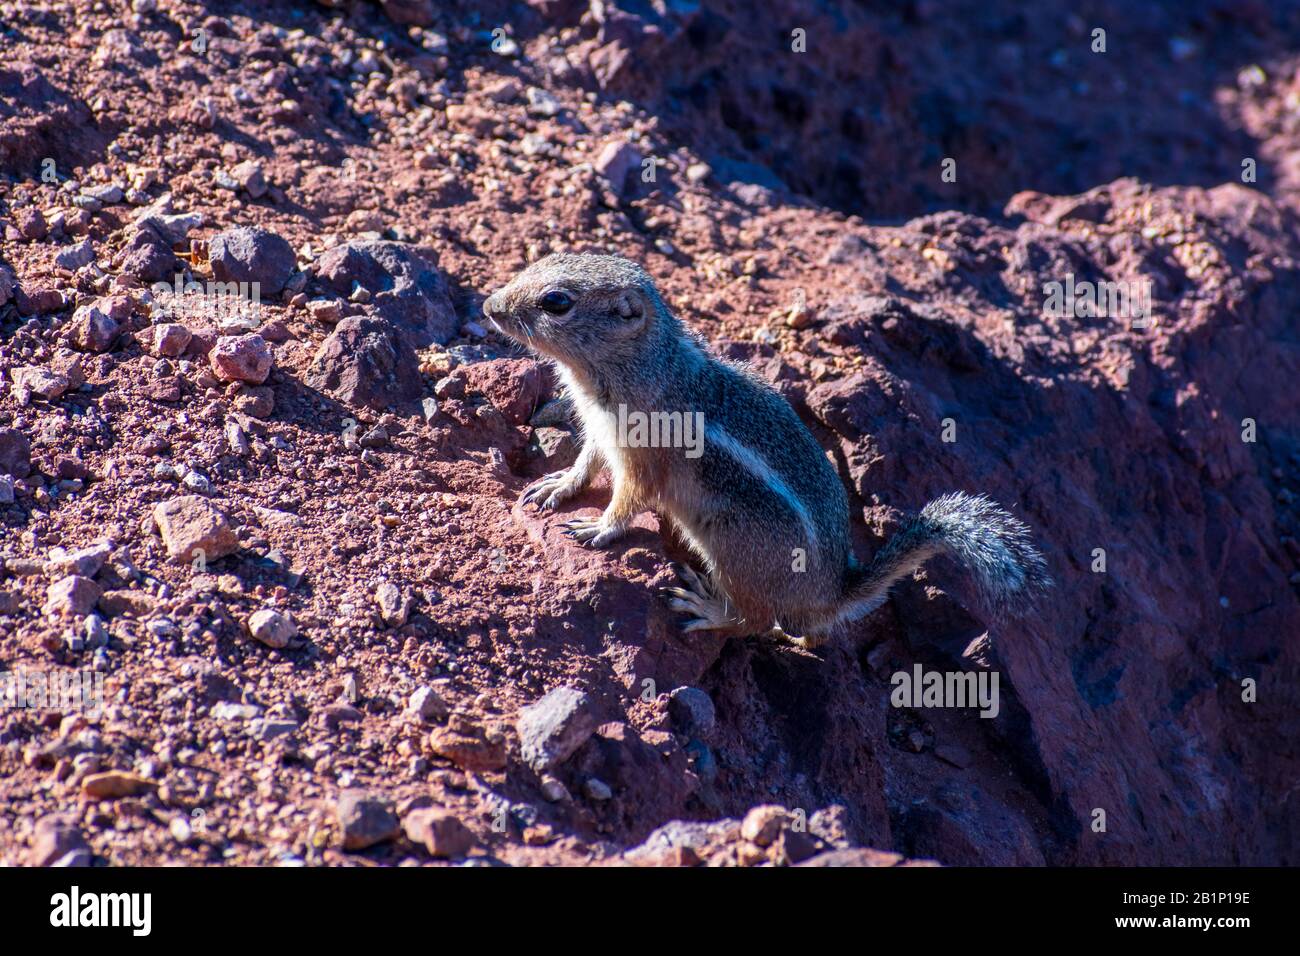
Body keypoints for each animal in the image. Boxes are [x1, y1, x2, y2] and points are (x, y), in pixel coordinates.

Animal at [483, 253, 1051, 646]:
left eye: (557, 301)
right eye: (538, 260)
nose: (489, 306)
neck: (634, 367)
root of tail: (831, 593)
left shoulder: (643, 456)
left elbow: (630, 500)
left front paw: (598, 528)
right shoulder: (601, 433)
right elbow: (585, 464)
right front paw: (558, 487)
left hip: (735, 550)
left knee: (753, 620)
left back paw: (710, 612)